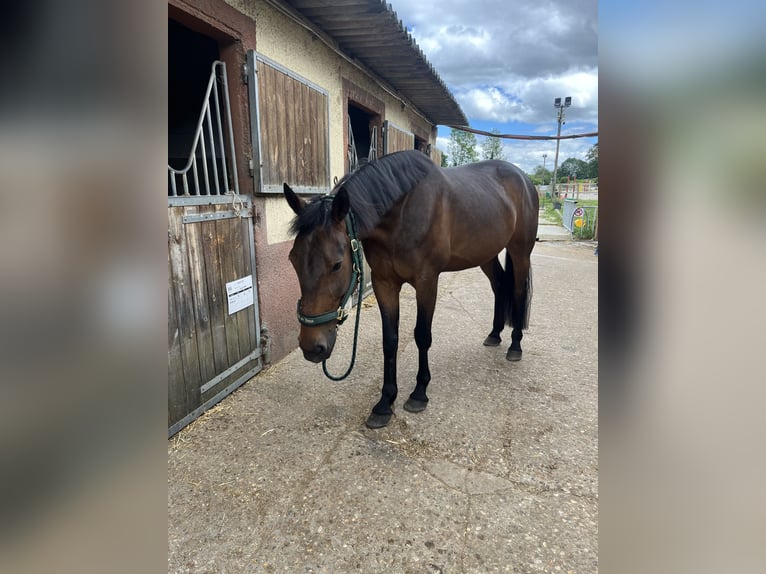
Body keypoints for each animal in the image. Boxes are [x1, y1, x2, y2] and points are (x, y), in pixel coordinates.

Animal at [284, 151, 540, 430]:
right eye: (292, 259)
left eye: (337, 264)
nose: (312, 348)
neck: (401, 213)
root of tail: (524, 179)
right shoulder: (385, 283)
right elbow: (390, 340)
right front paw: (385, 403)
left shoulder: (427, 282)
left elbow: (422, 336)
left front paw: (419, 393)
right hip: (486, 254)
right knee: (499, 285)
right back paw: (494, 334)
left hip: (520, 252)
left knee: (517, 291)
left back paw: (515, 346)